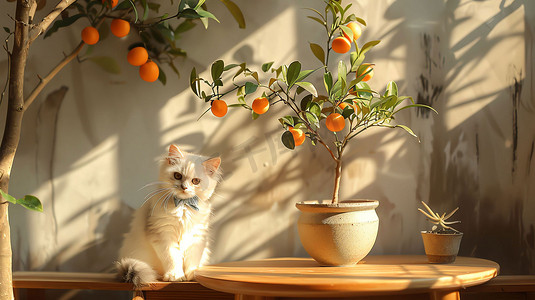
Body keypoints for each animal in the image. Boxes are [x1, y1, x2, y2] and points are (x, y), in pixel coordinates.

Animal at [117, 144, 222, 288]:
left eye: (195, 181)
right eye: (177, 176)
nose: (184, 187)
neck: (183, 206)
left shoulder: (197, 236)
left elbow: (192, 259)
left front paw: (192, 275)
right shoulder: (163, 235)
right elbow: (172, 258)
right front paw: (176, 276)